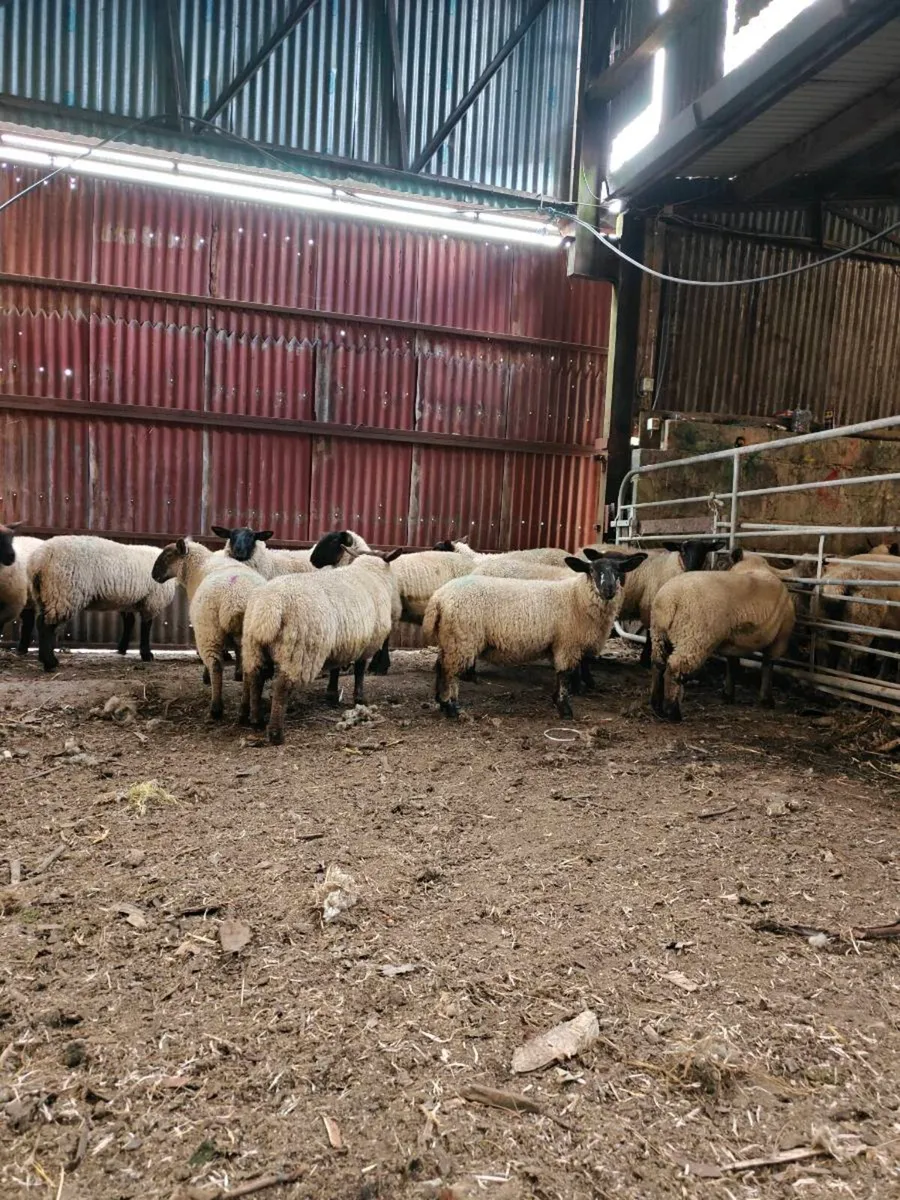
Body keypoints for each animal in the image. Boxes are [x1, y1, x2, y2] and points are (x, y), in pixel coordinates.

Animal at [28, 536, 178, 672]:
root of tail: (39, 559)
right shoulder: (152, 601)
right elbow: (146, 627)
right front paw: (146, 654)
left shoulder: (126, 602)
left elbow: (129, 622)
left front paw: (122, 648)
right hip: (63, 592)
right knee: (46, 626)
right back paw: (50, 663)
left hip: (45, 594)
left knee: (41, 623)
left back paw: (46, 659)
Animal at [151, 538, 266, 718]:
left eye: (169, 555)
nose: (153, 575)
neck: (198, 565)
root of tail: (237, 600)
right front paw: (237, 675)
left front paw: (206, 678)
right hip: (252, 636)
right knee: (252, 668)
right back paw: (247, 711)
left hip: (209, 629)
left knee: (216, 664)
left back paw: (216, 708)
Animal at [239, 548, 403, 744]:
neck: (372, 574)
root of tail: (269, 608)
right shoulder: (366, 644)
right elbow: (359, 671)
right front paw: (359, 698)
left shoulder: (341, 643)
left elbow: (335, 669)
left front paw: (331, 695)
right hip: (300, 652)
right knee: (281, 687)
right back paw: (276, 734)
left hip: (253, 647)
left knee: (255, 678)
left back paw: (254, 719)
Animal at [422, 552, 646, 719]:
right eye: (591, 570)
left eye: (619, 571)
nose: (608, 589)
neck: (576, 597)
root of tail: (439, 598)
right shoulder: (567, 643)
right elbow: (565, 675)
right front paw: (565, 709)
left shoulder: (561, 644)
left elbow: (562, 675)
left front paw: (557, 700)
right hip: (463, 639)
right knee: (450, 672)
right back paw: (452, 708)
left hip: (450, 638)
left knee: (441, 667)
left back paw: (441, 703)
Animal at [649, 548, 795, 722]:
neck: (753, 568)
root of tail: (669, 600)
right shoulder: (780, 639)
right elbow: (768, 666)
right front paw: (767, 700)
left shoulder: (734, 643)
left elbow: (732, 665)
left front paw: (728, 694)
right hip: (694, 637)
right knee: (674, 668)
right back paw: (672, 712)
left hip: (659, 634)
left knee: (658, 664)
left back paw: (656, 705)